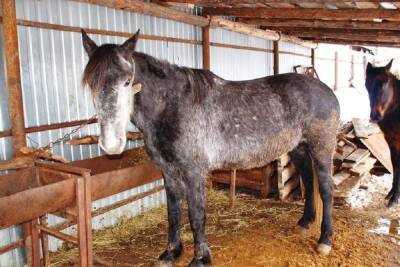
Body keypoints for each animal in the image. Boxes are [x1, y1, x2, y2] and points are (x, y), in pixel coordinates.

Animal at [82, 30, 340, 266]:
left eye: (127, 82)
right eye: (90, 85)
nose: (111, 144)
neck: (173, 105)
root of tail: (327, 91)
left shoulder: (194, 172)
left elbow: (196, 215)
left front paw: (200, 258)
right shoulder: (169, 172)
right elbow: (173, 213)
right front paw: (171, 253)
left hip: (321, 148)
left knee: (326, 189)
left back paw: (325, 240)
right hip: (298, 148)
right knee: (308, 180)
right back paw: (304, 223)